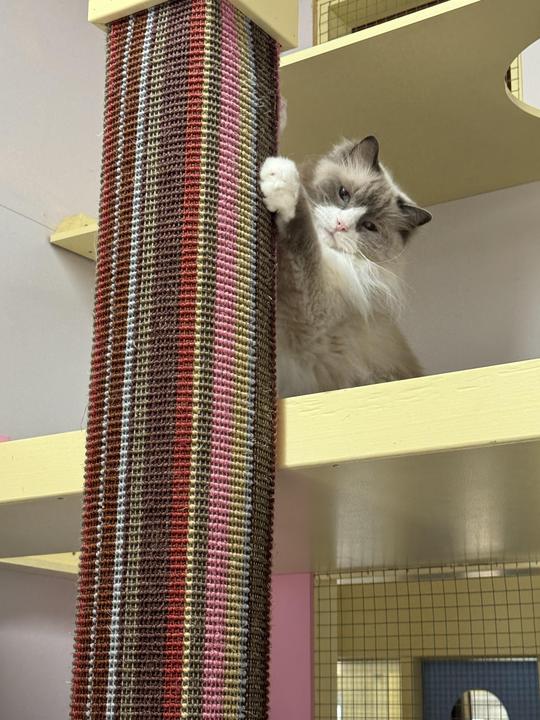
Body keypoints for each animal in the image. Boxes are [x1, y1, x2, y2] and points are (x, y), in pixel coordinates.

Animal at [259, 135, 432, 398]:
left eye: (369, 226)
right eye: (344, 194)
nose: (340, 225)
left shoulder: (312, 317)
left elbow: (302, 235)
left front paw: (281, 178)